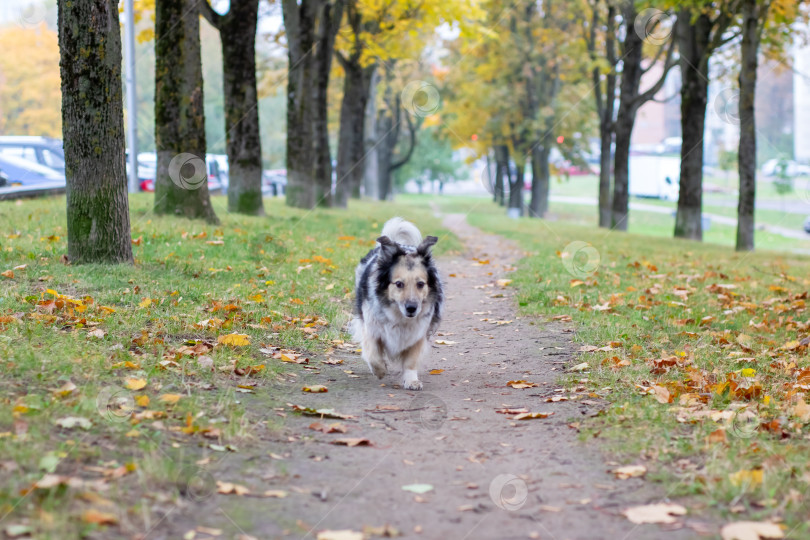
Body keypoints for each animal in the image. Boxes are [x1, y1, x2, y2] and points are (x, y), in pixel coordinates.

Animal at [348, 217, 442, 390]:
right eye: (399, 284)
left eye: (420, 284)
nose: (412, 308)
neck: (399, 316)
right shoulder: (371, 327)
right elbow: (373, 353)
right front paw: (379, 370)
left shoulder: (418, 333)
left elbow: (411, 361)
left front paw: (411, 380)